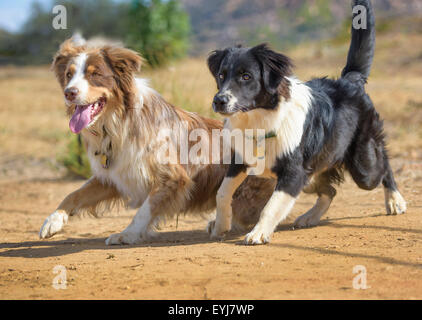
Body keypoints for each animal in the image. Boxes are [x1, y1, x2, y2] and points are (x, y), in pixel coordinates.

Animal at [39, 35, 274, 245]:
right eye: (69, 75)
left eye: (95, 74)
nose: (69, 92)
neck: (119, 122)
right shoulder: (115, 174)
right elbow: (75, 193)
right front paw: (52, 221)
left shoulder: (172, 177)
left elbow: (145, 209)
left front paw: (127, 234)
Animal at [207, 0, 406, 245]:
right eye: (221, 75)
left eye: (246, 76)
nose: (219, 101)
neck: (262, 118)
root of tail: (350, 80)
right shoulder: (240, 161)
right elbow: (222, 192)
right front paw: (220, 225)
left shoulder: (293, 173)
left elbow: (271, 206)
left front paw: (258, 232)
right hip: (313, 171)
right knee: (330, 191)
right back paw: (310, 217)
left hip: (363, 168)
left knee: (383, 165)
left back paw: (395, 200)